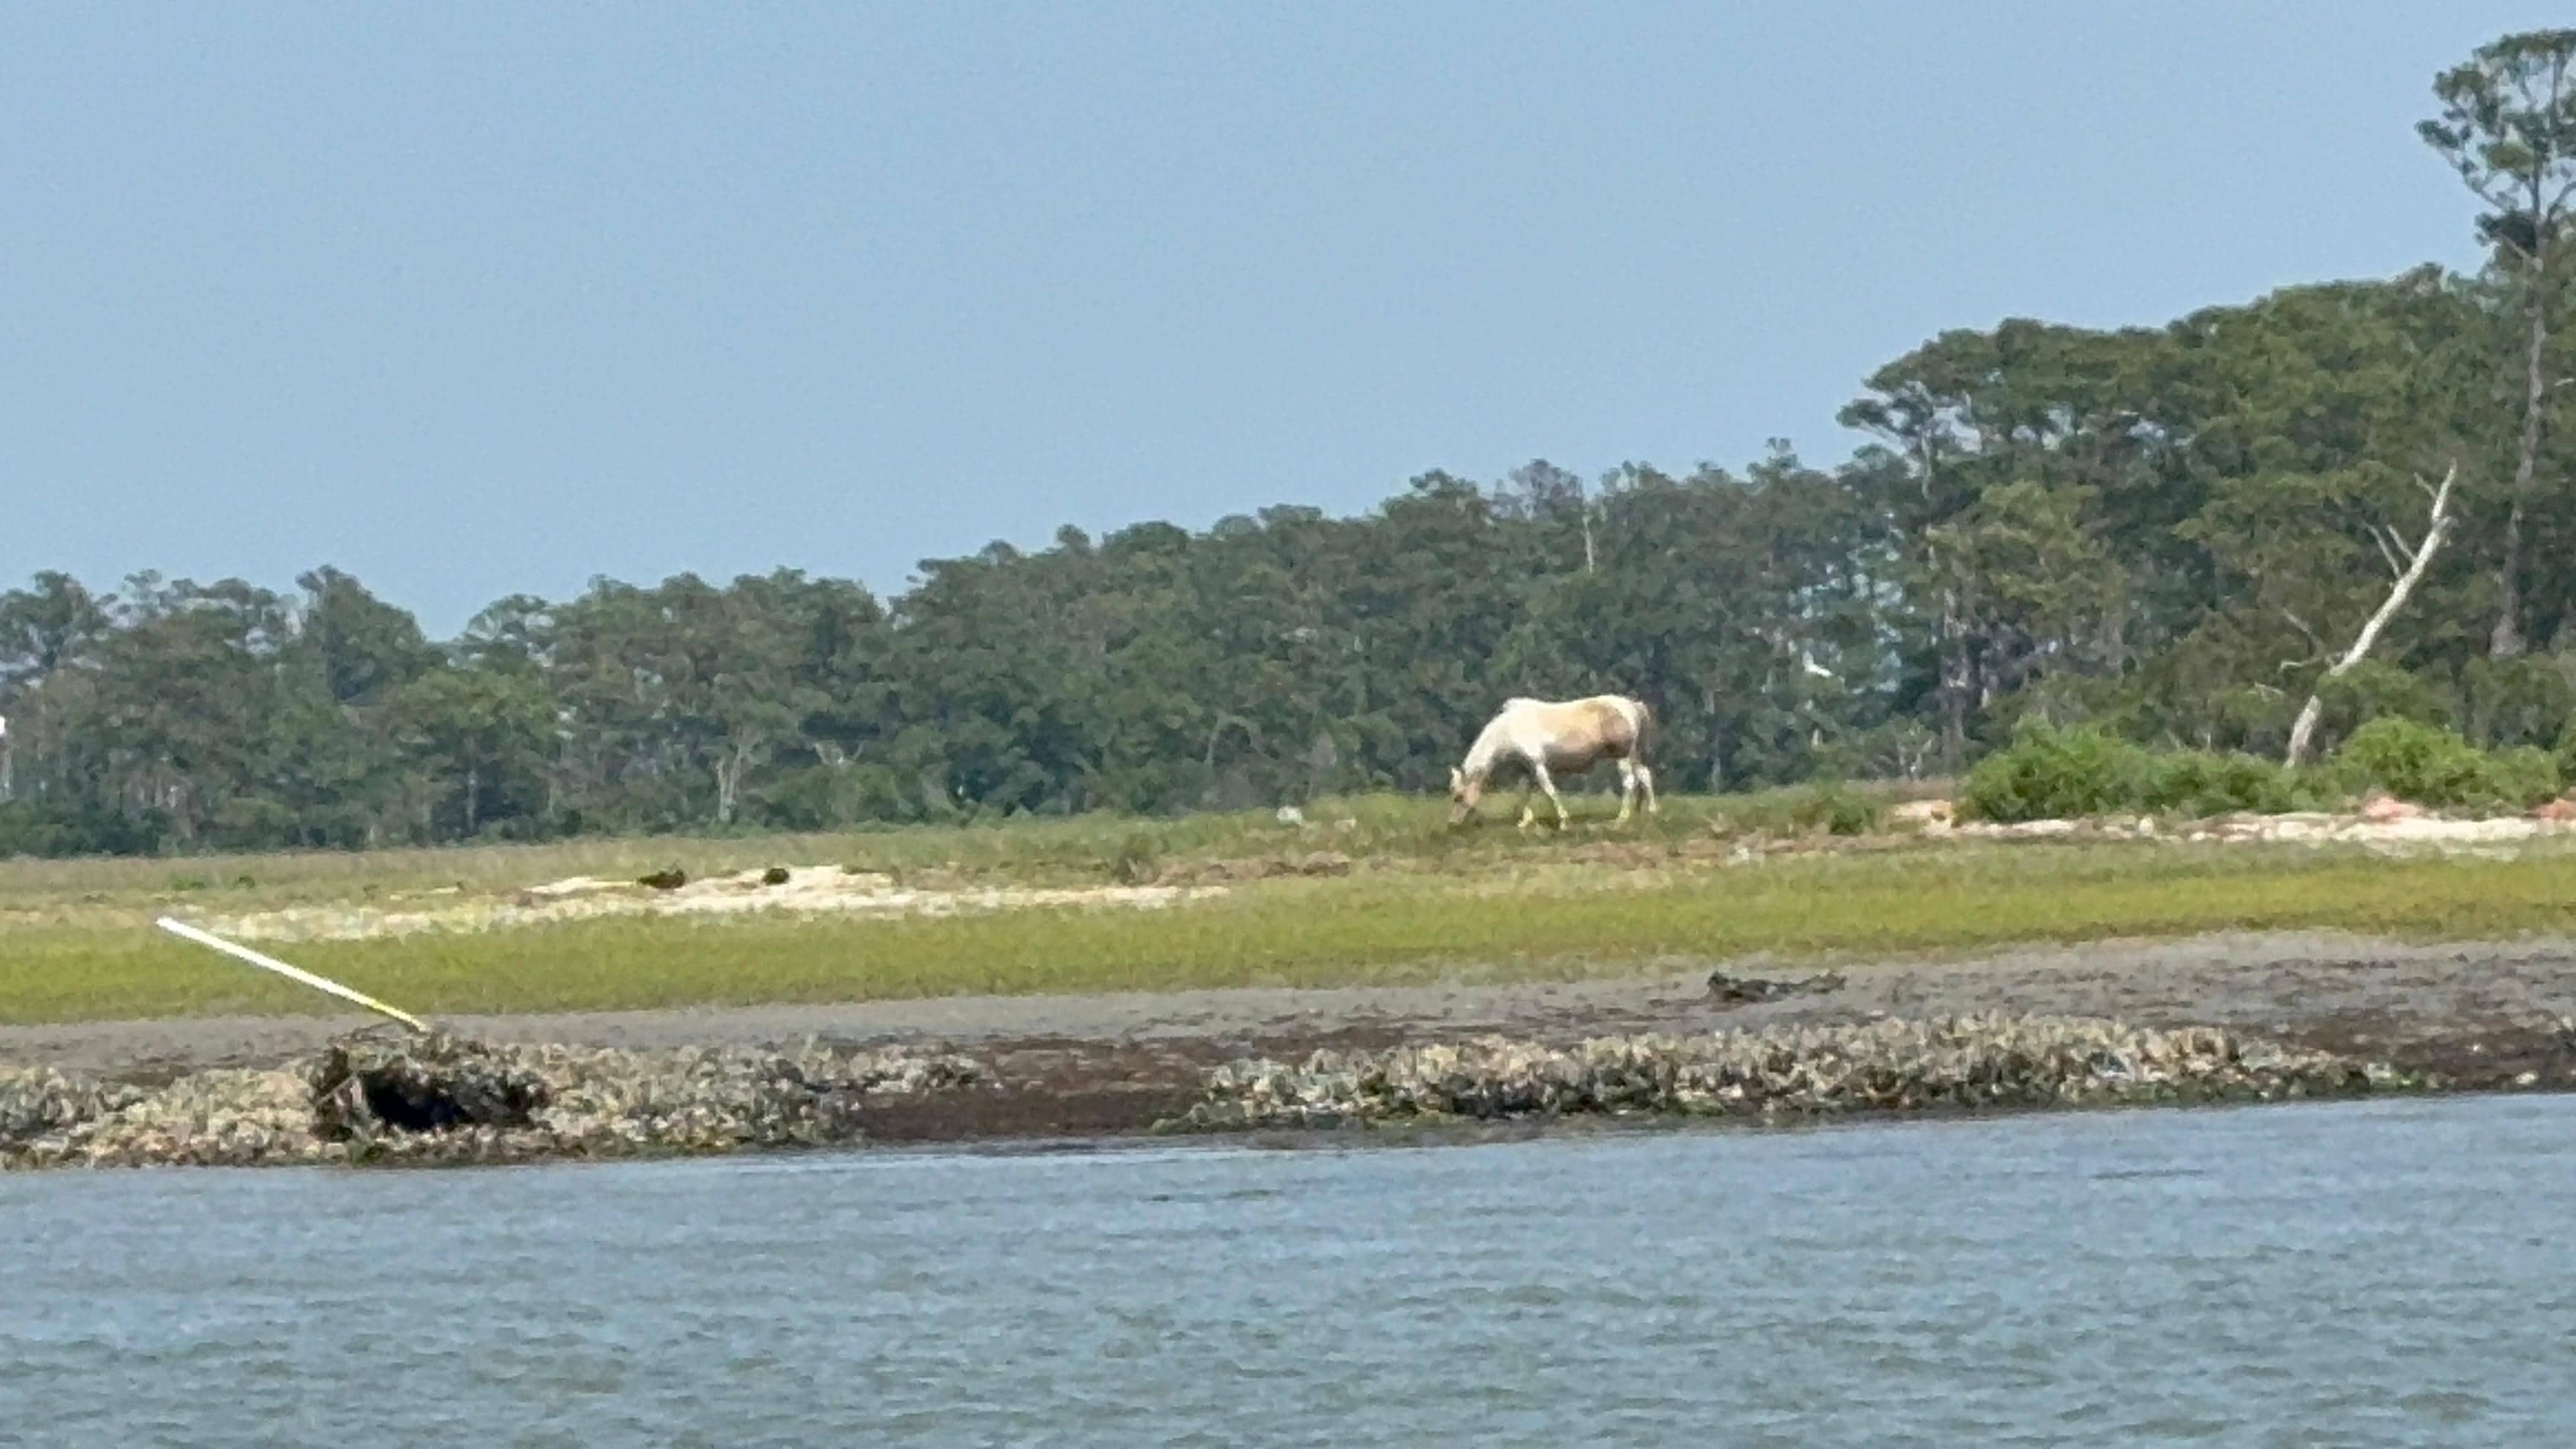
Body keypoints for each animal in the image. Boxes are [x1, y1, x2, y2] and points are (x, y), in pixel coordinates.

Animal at [1447, 694, 1657, 829]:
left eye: (1459, 796)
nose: (1452, 823)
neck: (1509, 729)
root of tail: (1632, 705)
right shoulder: (1526, 768)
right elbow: (1524, 792)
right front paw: (1525, 821)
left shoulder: (1538, 765)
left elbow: (1549, 790)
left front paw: (1564, 821)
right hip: (1633, 755)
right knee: (1644, 776)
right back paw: (1651, 811)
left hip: (1623, 757)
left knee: (1629, 782)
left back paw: (1621, 818)